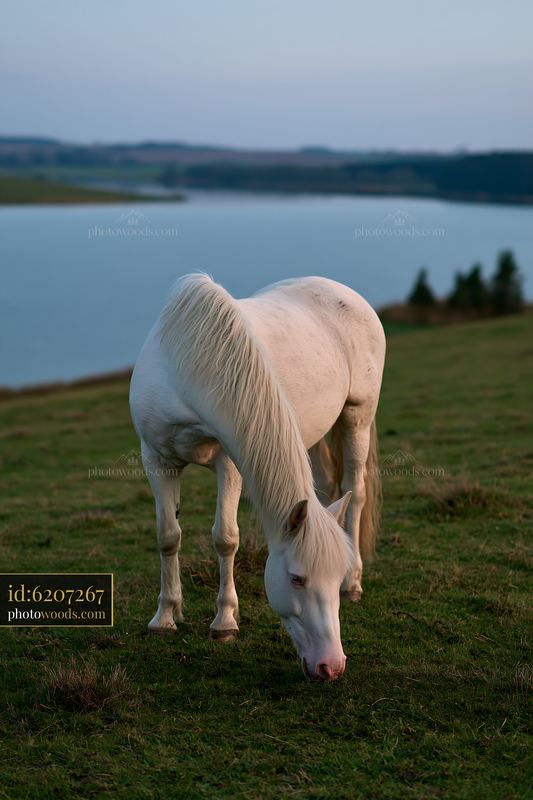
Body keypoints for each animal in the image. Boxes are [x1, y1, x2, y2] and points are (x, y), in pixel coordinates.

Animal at [129, 274, 385, 681]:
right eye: (297, 578)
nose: (332, 666)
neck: (185, 365)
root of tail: (342, 290)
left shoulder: (229, 462)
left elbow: (225, 538)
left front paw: (224, 621)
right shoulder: (157, 460)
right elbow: (168, 537)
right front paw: (165, 617)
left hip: (357, 414)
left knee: (355, 492)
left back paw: (355, 584)